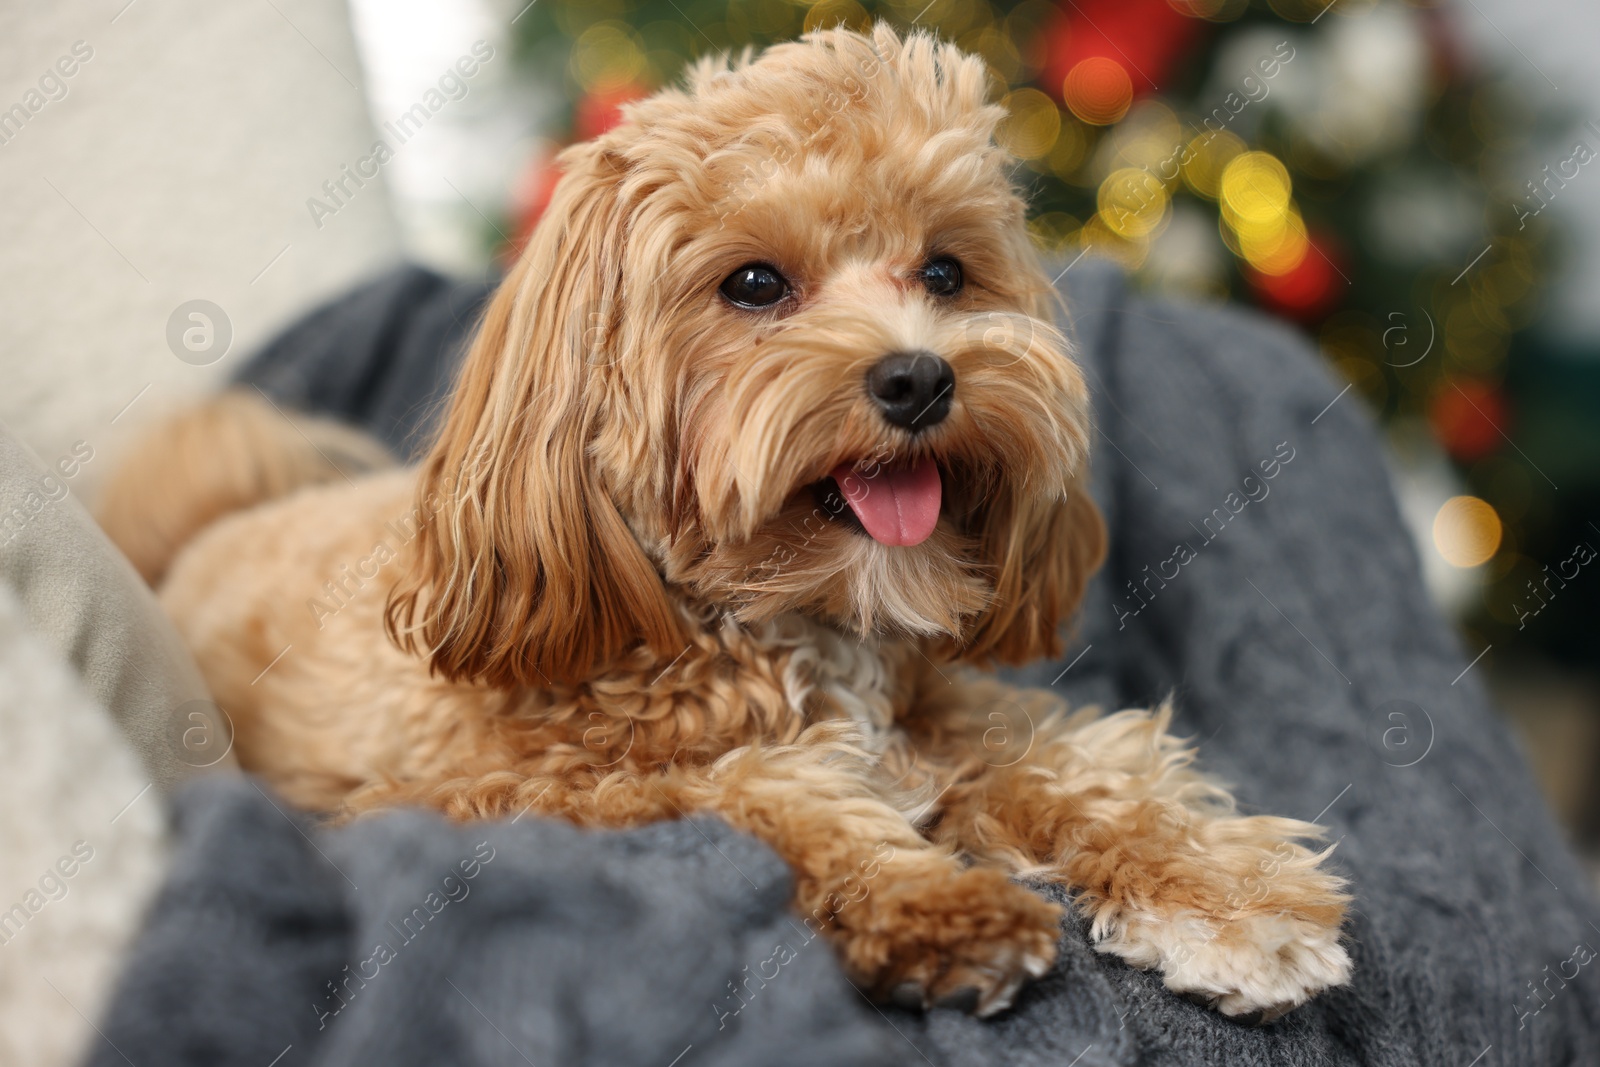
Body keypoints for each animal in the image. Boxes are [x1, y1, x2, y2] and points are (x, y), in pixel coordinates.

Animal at [100, 29, 1350, 1023]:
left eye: (946, 271)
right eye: (754, 284)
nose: (919, 378)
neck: (785, 622)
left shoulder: (956, 713)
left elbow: (1088, 762)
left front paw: (1228, 894)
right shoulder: (515, 789)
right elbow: (756, 795)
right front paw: (933, 900)